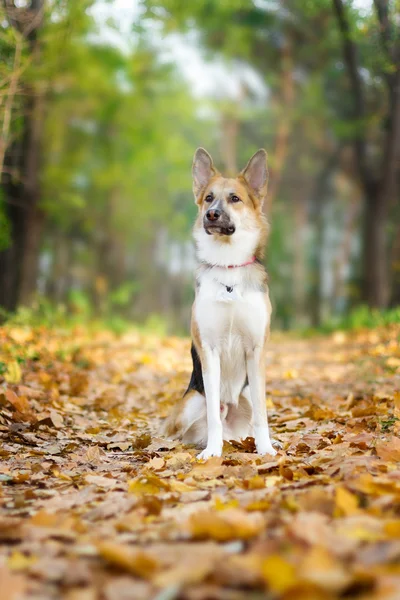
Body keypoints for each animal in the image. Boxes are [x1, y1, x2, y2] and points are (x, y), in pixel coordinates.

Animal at [162, 148, 278, 458]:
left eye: (234, 198)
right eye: (208, 198)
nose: (211, 214)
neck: (229, 268)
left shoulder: (256, 351)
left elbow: (262, 415)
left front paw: (266, 449)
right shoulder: (209, 351)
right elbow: (214, 413)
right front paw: (212, 452)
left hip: (245, 395)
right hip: (191, 402)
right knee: (177, 432)